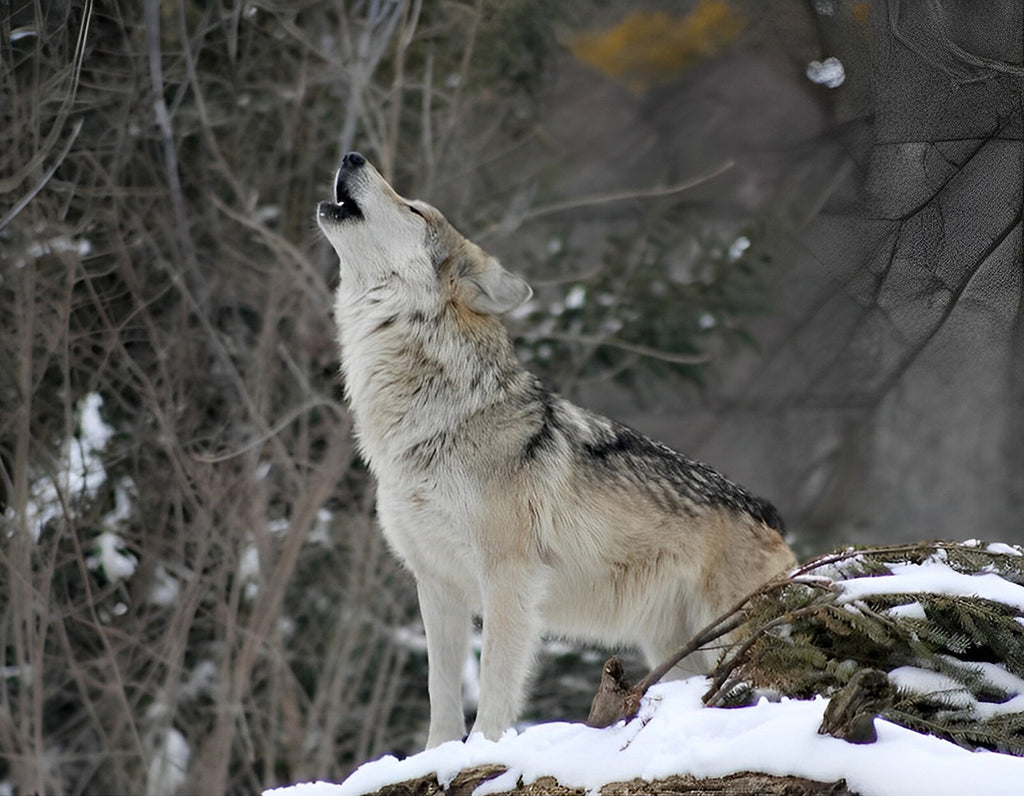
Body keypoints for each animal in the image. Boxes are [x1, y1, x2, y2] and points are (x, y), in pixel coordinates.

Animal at [315, 152, 794, 749]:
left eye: (414, 210)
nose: (351, 156)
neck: (436, 420)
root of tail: (772, 516)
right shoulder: (437, 583)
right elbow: (441, 695)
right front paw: (436, 757)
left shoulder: (508, 578)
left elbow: (495, 684)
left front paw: (484, 751)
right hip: (678, 651)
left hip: (731, 640)